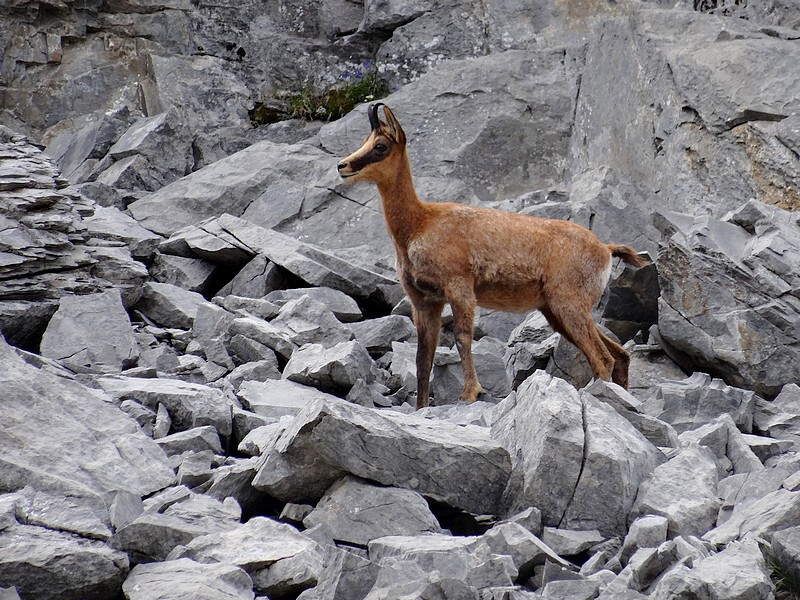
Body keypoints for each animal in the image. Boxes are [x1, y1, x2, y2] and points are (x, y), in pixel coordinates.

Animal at [337, 103, 649, 410]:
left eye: (380, 146)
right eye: (365, 140)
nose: (342, 166)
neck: (419, 224)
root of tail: (605, 248)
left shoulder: (460, 287)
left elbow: (462, 338)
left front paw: (470, 393)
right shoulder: (424, 301)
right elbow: (423, 358)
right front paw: (421, 408)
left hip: (568, 303)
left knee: (603, 359)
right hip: (557, 311)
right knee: (619, 355)